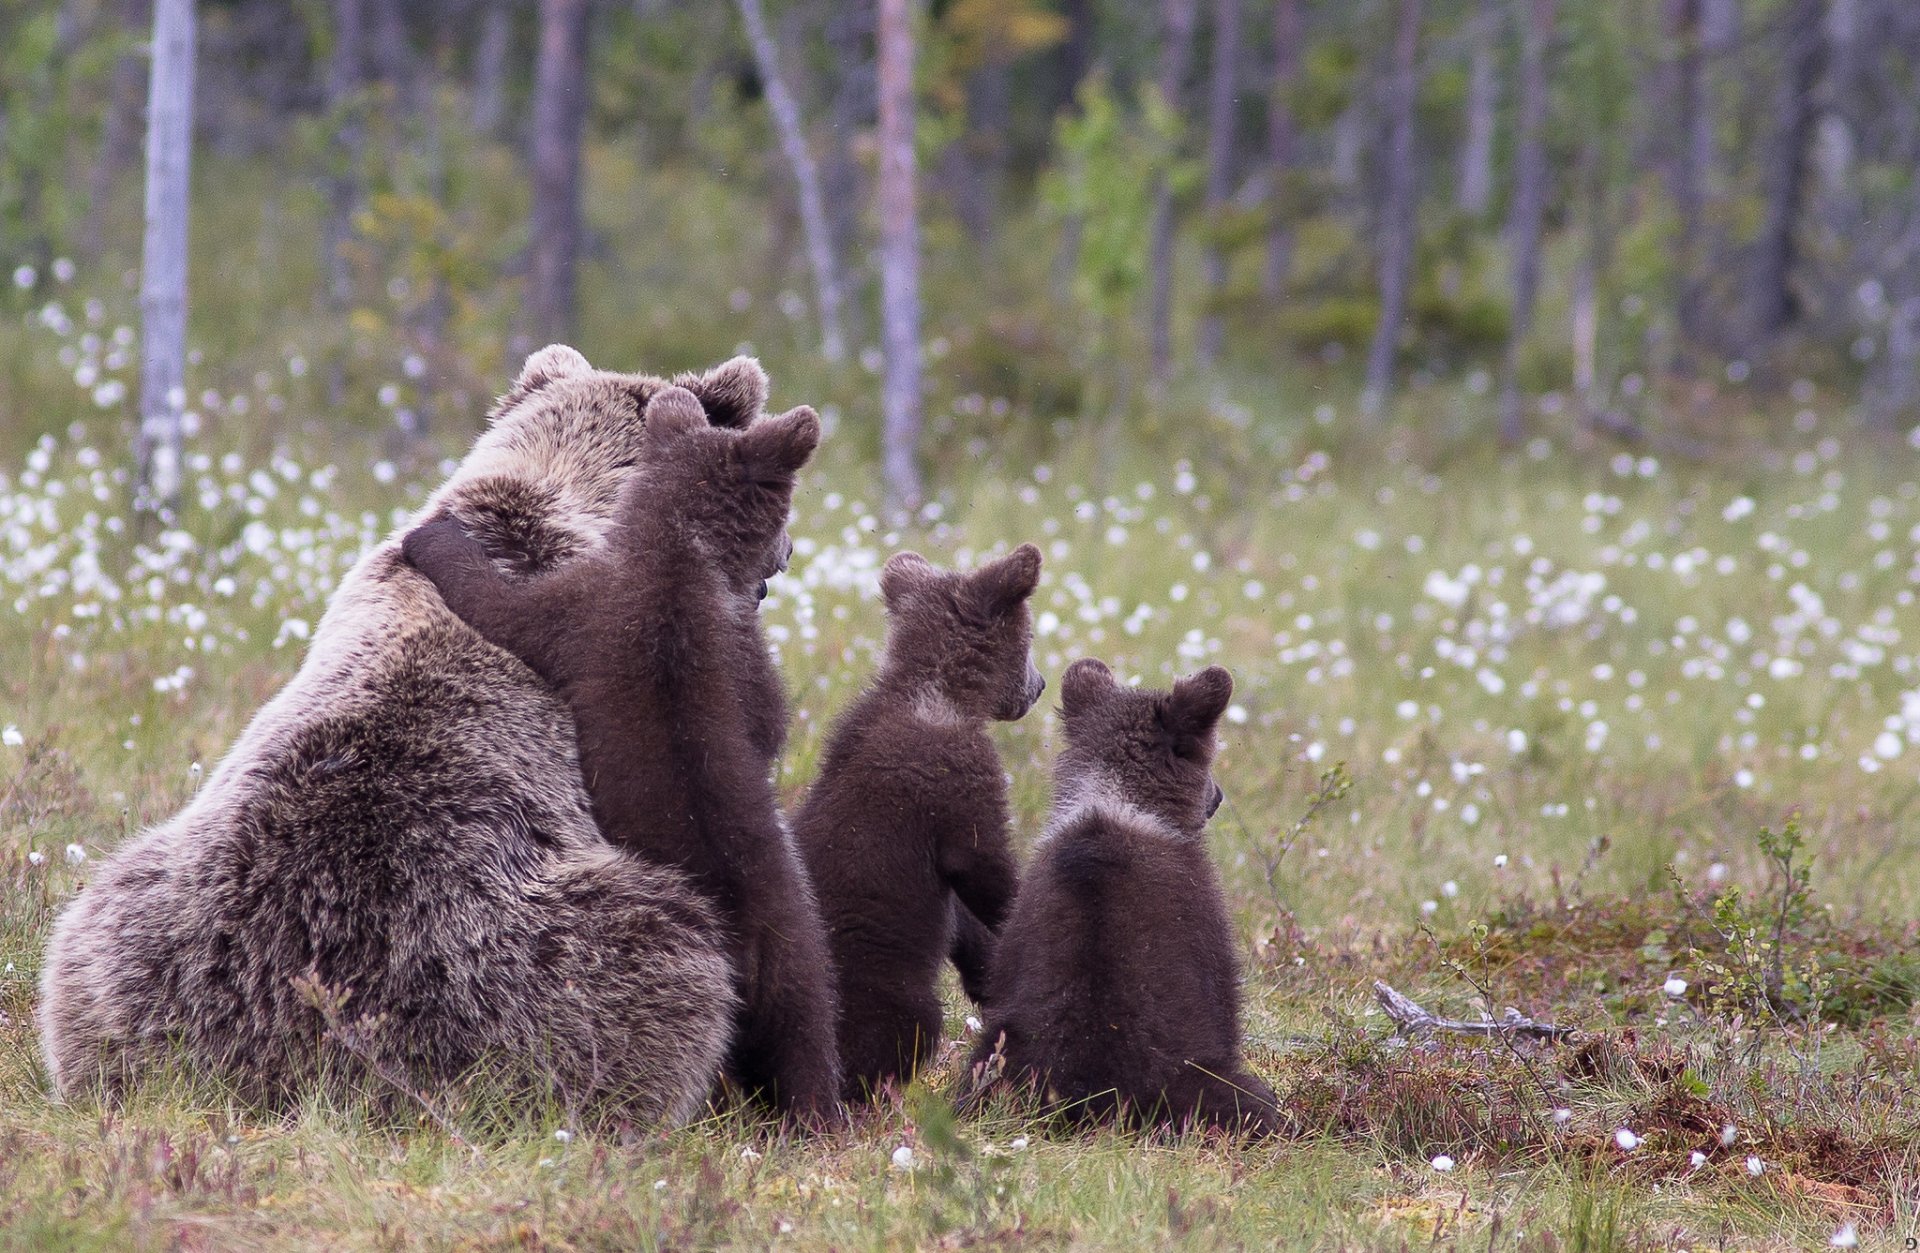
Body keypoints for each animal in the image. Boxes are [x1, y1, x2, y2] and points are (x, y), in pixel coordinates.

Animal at [399, 387, 840, 1122]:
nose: (790, 551)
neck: (679, 554)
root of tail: (746, 941)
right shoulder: (738, 655)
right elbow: (765, 718)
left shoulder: (585, 610)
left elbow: (502, 605)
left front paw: (433, 537)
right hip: (799, 947)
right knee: (807, 1034)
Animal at [791, 546, 1045, 1101]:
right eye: (1031, 640)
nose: (1039, 686)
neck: (939, 692)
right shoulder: (955, 782)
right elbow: (985, 867)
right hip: (883, 985)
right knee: (904, 1027)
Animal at [968, 658, 1280, 1138]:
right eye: (1200, 756)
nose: (1217, 796)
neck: (1120, 798)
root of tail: (1097, 1101)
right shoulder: (1203, 921)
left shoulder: (1015, 926)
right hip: (1191, 1078)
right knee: (1246, 1102)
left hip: (1002, 1056)